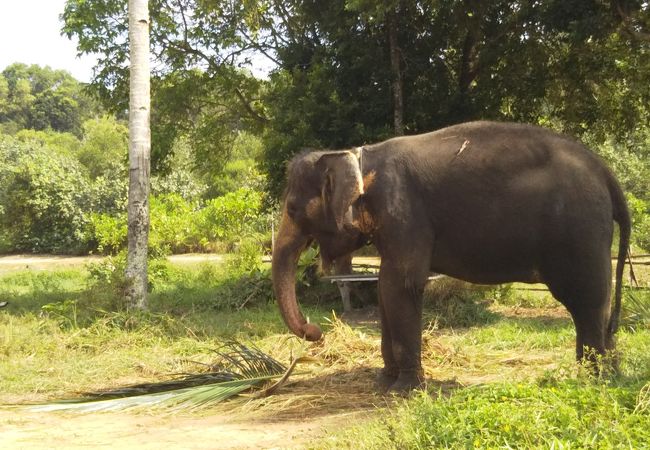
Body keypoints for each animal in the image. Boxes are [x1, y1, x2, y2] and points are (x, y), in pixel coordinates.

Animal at [270, 121, 628, 392]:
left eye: (293, 209)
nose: (316, 331)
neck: (359, 155)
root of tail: (606, 173)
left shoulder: (403, 211)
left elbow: (401, 285)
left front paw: (403, 391)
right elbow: (385, 288)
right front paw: (383, 383)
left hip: (580, 231)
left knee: (586, 301)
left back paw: (592, 380)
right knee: (595, 306)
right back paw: (603, 375)